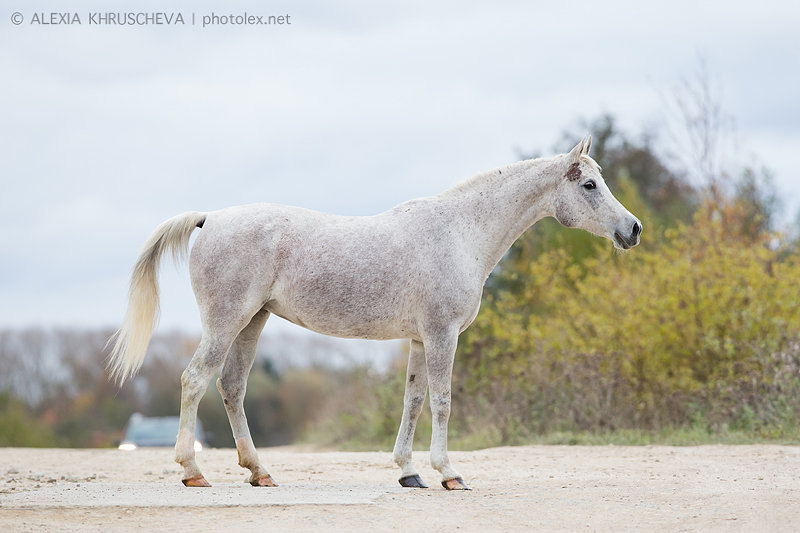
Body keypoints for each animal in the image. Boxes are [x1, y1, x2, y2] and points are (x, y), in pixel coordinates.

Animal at [109, 138, 640, 490]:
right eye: (589, 184)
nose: (633, 229)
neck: (460, 232)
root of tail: (210, 218)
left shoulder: (421, 339)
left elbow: (414, 400)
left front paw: (410, 473)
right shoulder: (443, 335)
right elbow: (443, 401)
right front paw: (450, 474)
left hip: (252, 322)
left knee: (231, 387)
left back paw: (260, 472)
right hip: (226, 322)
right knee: (195, 380)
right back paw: (194, 472)